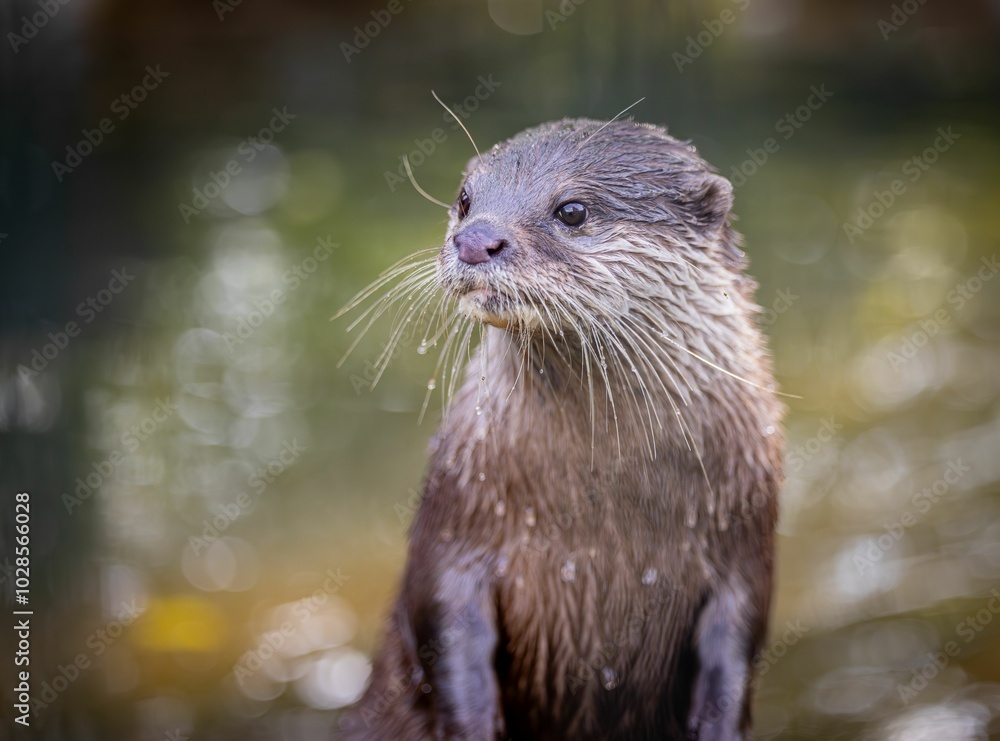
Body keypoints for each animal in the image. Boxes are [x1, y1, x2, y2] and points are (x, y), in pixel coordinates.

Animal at [338, 119, 784, 740]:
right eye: (465, 199)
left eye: (572, 210)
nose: (475, 239)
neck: (600, 506)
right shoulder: (455, 524)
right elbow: (443, 631)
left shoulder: (746, 542)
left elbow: (738, 645)